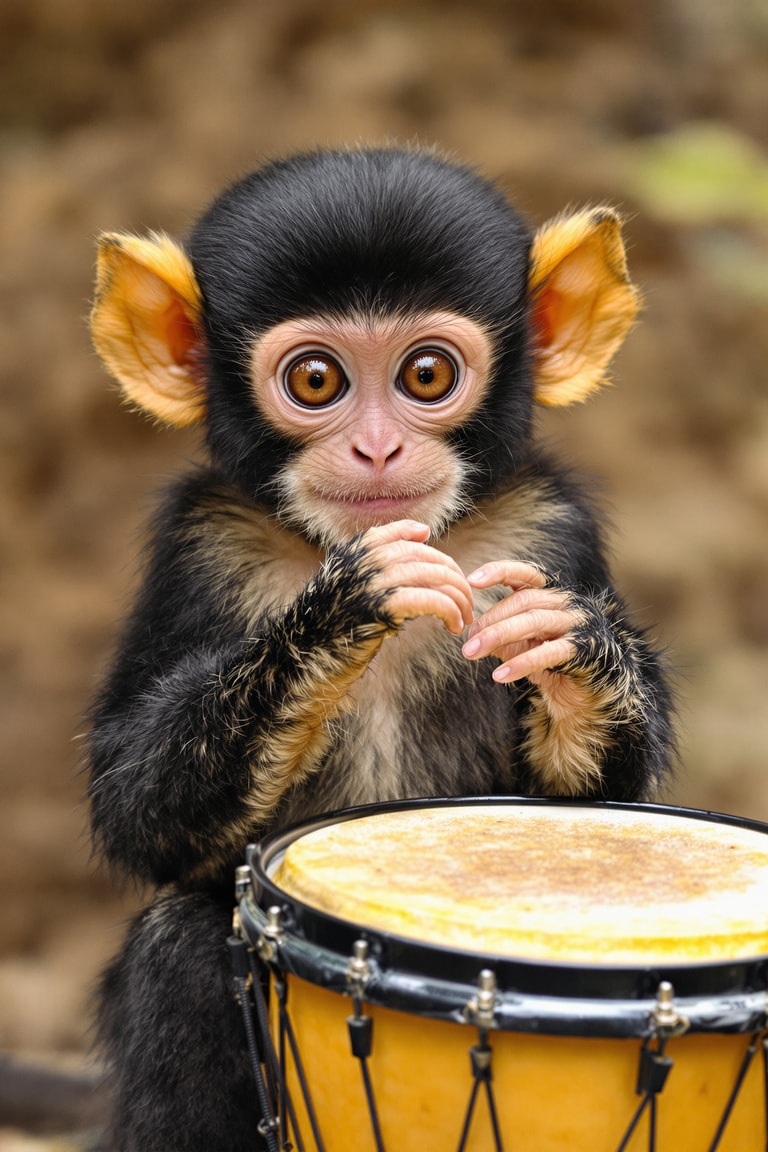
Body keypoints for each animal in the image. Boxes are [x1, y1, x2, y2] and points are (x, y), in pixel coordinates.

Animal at [86, 145, 674, 1151]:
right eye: (317, 381)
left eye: (427, 375)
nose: (376, 449)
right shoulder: (203, 547)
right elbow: (134, 806)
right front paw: (343, 610)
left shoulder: (548, 527)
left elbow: (599, 802)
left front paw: (575, 655)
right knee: (180, 951)